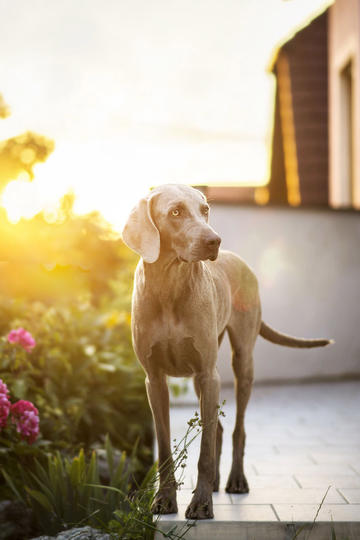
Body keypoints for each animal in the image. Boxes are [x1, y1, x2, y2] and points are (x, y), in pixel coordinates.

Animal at [121, 185, 332, 520]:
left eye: (205, 210)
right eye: (175, 212)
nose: (214, 241)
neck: (170, 286)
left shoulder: (208, 374)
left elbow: (205, 451)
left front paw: (201, 503)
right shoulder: (154, 379)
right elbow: (165, 446)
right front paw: (165, 500)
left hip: (239, 362)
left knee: (237, 430)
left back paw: (235, 480)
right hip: (201, 378)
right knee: (217, 429)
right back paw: (217, 482)